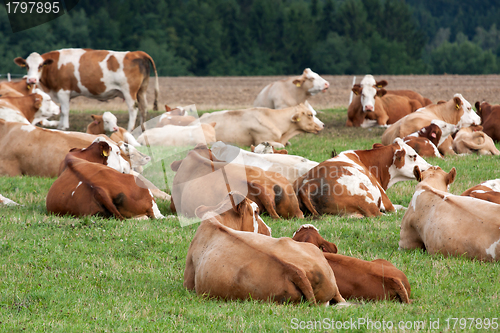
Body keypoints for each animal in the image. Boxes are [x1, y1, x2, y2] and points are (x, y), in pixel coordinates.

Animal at [15, 48, 160, 131]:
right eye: (27, 66)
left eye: (40, 65)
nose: (31, 80)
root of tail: (137, 53)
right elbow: (63, 110)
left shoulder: (63, 90)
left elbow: (65, 111)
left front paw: (63, 127)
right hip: (142, 90)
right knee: (143, 108)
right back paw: (143, 130)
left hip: (129, 91)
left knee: (133, 109)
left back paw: (130, 130)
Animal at [294, 137, 432, 215]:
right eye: (413, 155)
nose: (430, 166)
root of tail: (308, 184)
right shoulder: (387, 202)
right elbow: (399, 208)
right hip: (367, 201)